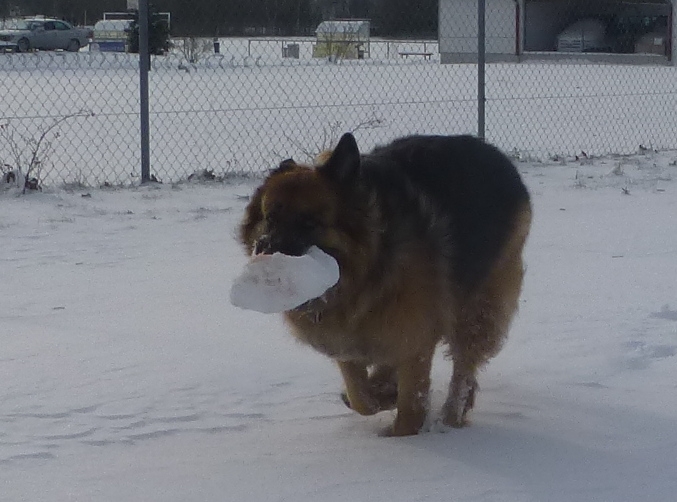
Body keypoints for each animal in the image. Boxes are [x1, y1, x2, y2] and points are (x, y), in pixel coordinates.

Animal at [240, 133, 532, 436]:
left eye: (309, 223)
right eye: (270, 218)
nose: (264, 251)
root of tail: (492, 151)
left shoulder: (416, 339)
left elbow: (410, 407)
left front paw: (402, 435)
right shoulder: (346, 344)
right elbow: (360, 398)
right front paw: (381, 395)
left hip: (477, 312)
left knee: (463, 370)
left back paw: (451, 417)